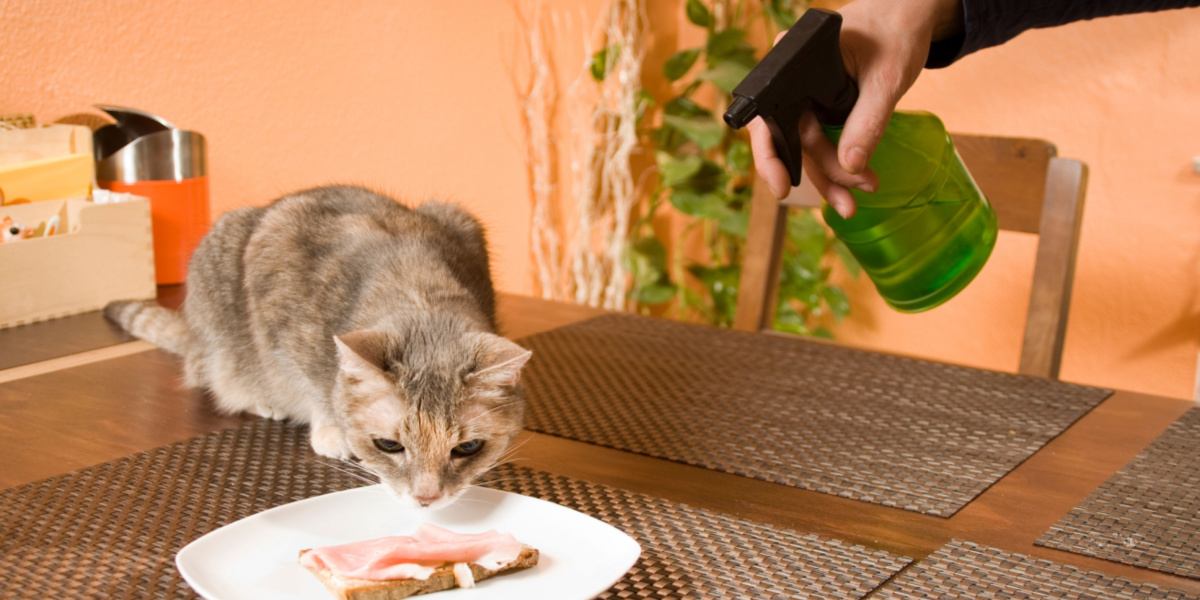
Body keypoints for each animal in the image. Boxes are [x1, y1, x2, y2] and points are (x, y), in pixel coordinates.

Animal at [106, 184, 530, 508]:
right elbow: (315, 386)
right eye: (388, 445)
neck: (418, 295)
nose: (426, 498)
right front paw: (331, 430)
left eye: (468, 447)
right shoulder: (279, 319)